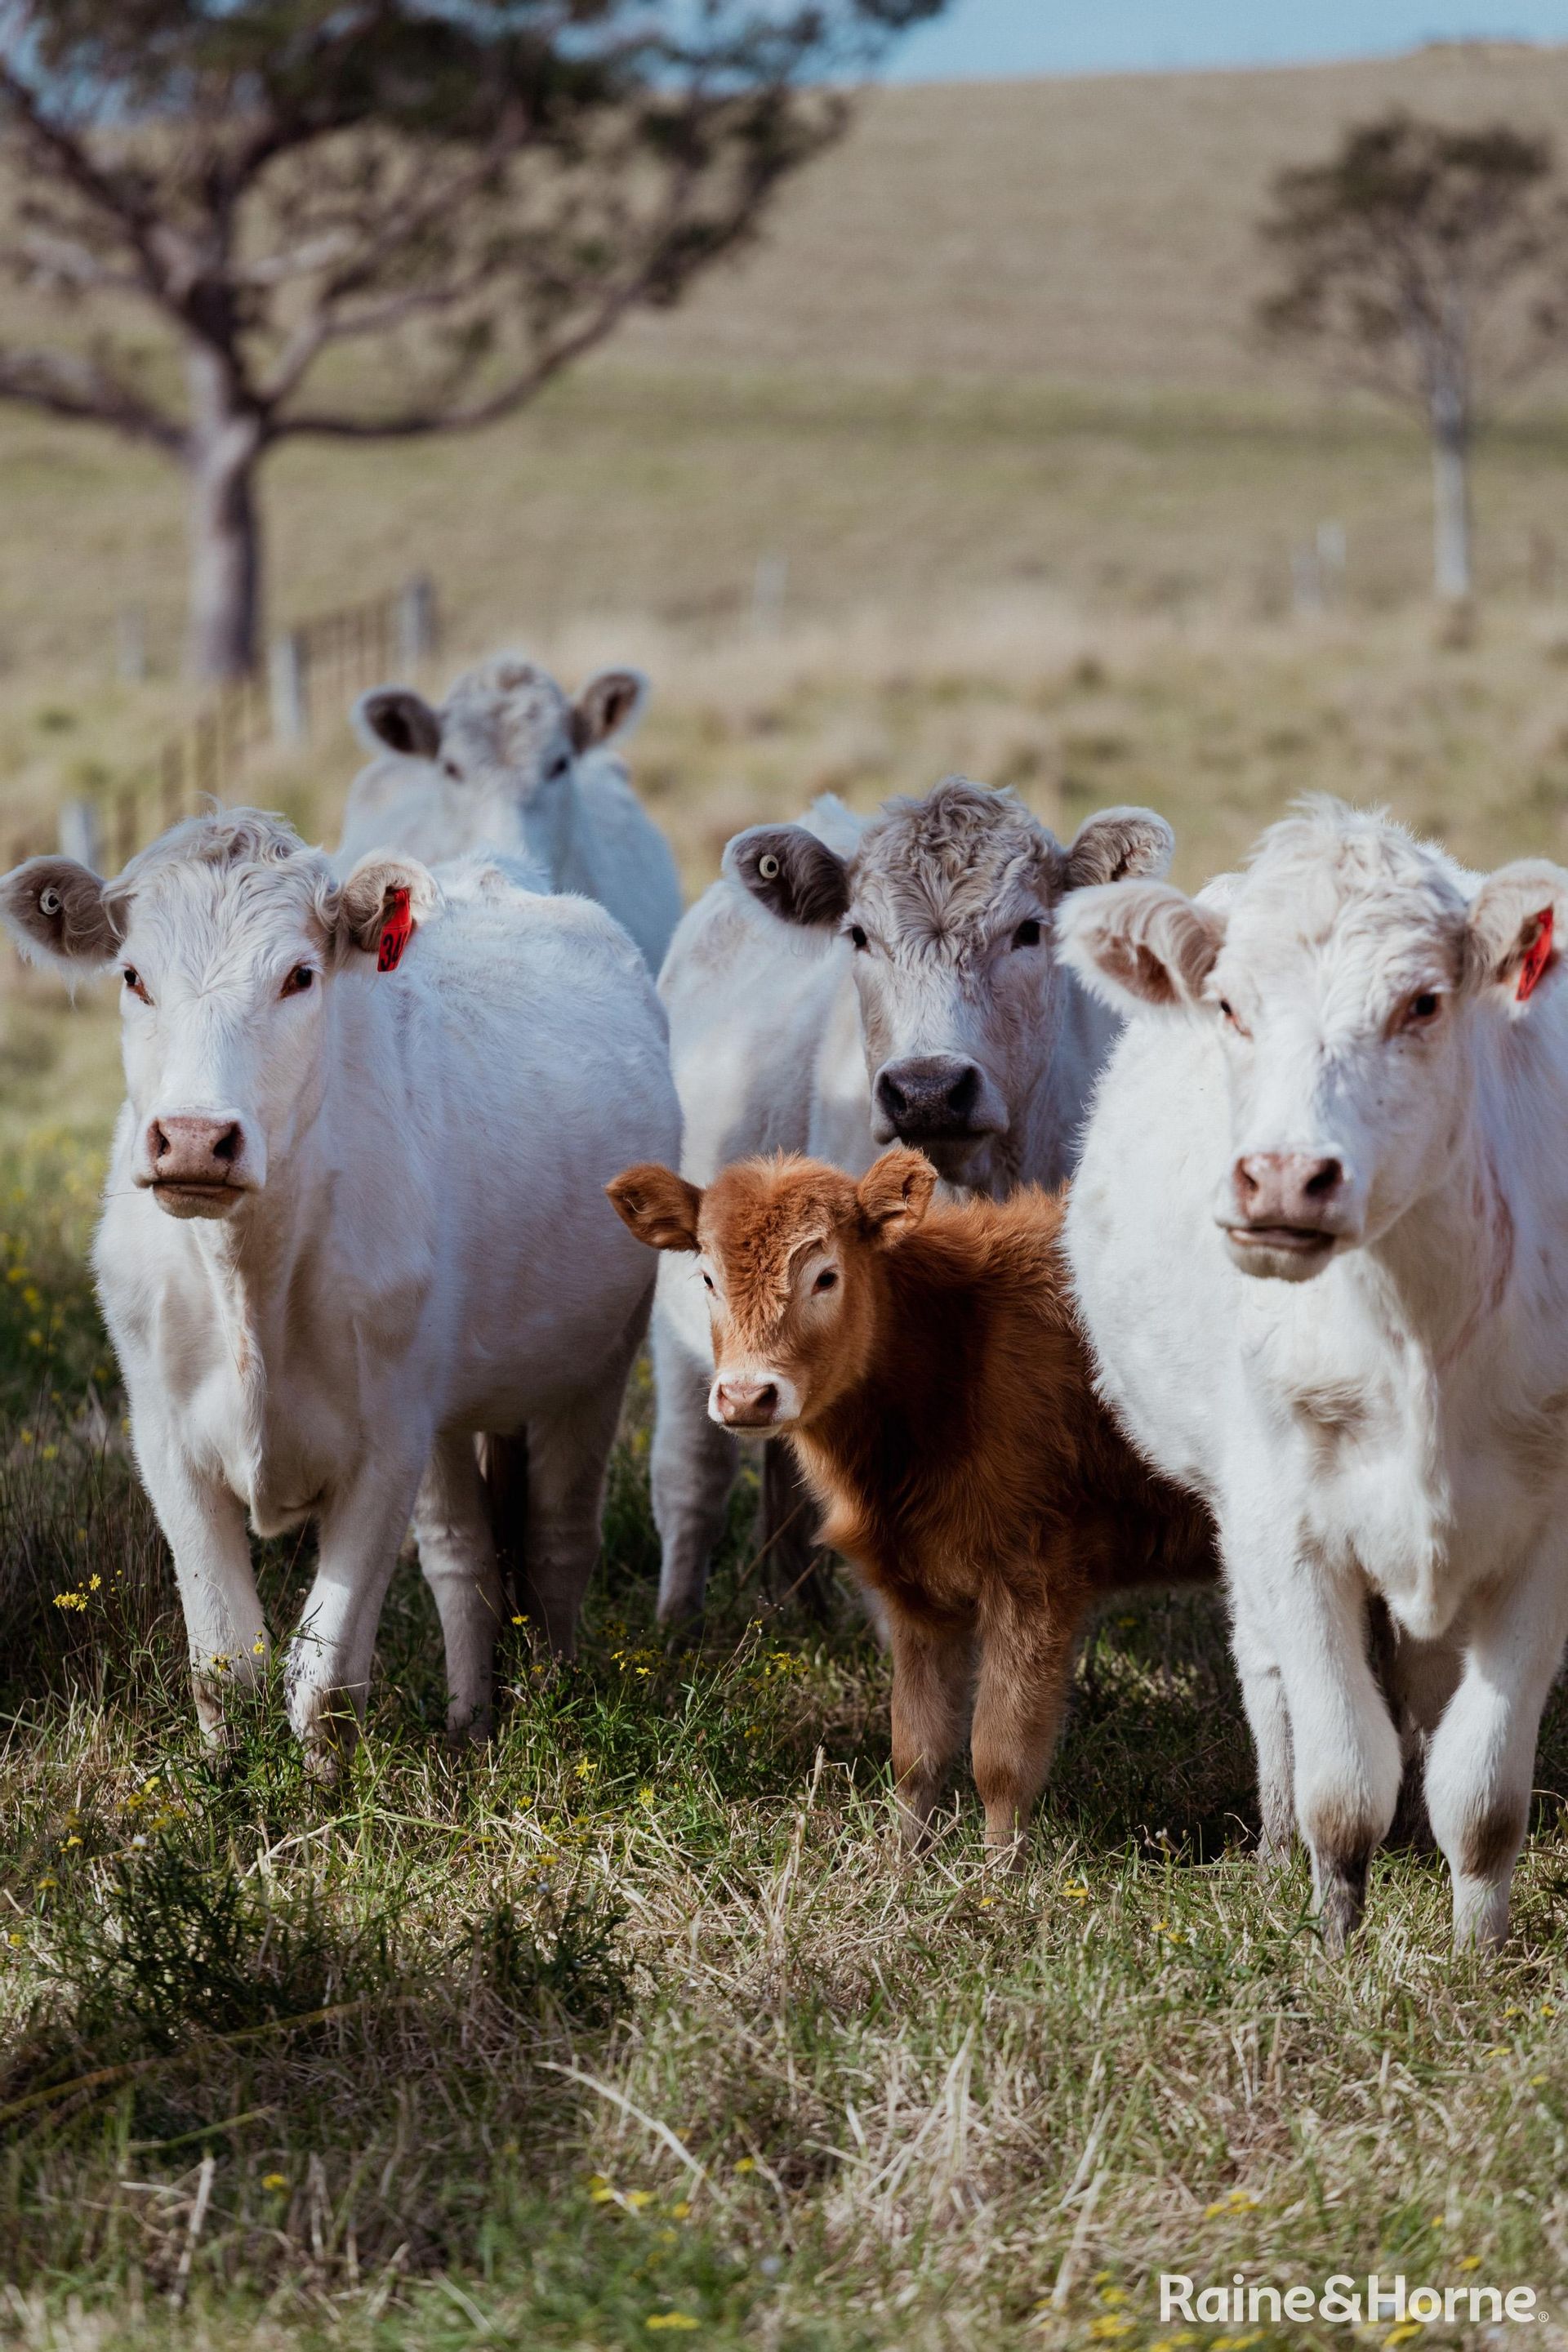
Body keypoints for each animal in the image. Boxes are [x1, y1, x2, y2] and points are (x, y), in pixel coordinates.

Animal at [0, 814, 680, 1763]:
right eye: (132, 976)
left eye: (299, 975)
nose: (195, 1138)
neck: (250, 1280)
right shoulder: (167, 1441)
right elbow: (227, 1666)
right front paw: (227, 1787)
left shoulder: (384, 1447)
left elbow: (322, 1682)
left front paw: (324, 1781)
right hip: (449, 1409)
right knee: (463, 1557)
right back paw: (471, 1725)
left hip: (592, 1368)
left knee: (555, 1544)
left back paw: (547, 1709)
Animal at [609, 1148, 1216, 1855]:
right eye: (706, 1277)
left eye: (826, 1276)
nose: (746, 1396)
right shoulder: (915, 1588)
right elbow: (916, 1752)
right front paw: (900, 1864)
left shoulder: (1035, 1578)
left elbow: (1000, 1759)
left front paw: (995, 1878)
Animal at [1055, 797, 1568, 1950]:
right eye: (1230, 1005)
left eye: (1423, 1002)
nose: (1285, 1177)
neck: (1414, 1325)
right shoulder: (1284, 1515)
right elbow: (1344, 1773)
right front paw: (1336, 1934)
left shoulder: (1549, 1531)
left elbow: (1482, 1787)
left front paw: (1476, 1950)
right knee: (1271, 1680)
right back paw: (1278, 1844)